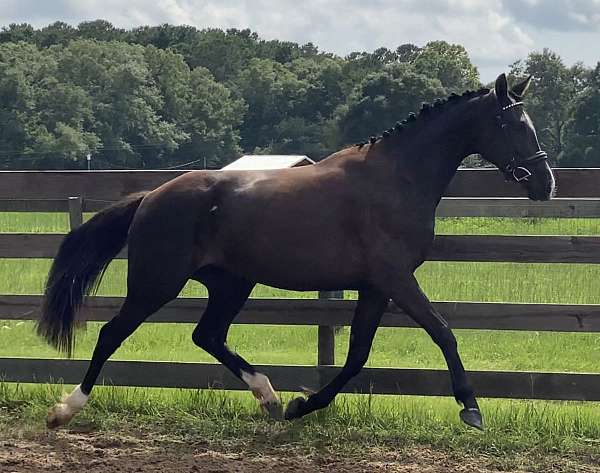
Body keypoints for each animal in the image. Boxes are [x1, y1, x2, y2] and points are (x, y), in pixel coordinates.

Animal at [36, 72, 552, 430]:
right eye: (510, 122)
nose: (545, 183)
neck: (395, 178)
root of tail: (151, 198)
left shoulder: (375, 287)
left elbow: (357, 356)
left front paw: (305, 405)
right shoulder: (396, 279)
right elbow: (443, 333)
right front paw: (471, 408)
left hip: (231, 283)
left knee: (208, 335)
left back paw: (270, 397)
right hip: (156, 282)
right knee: (112, 334)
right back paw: (65, 410)